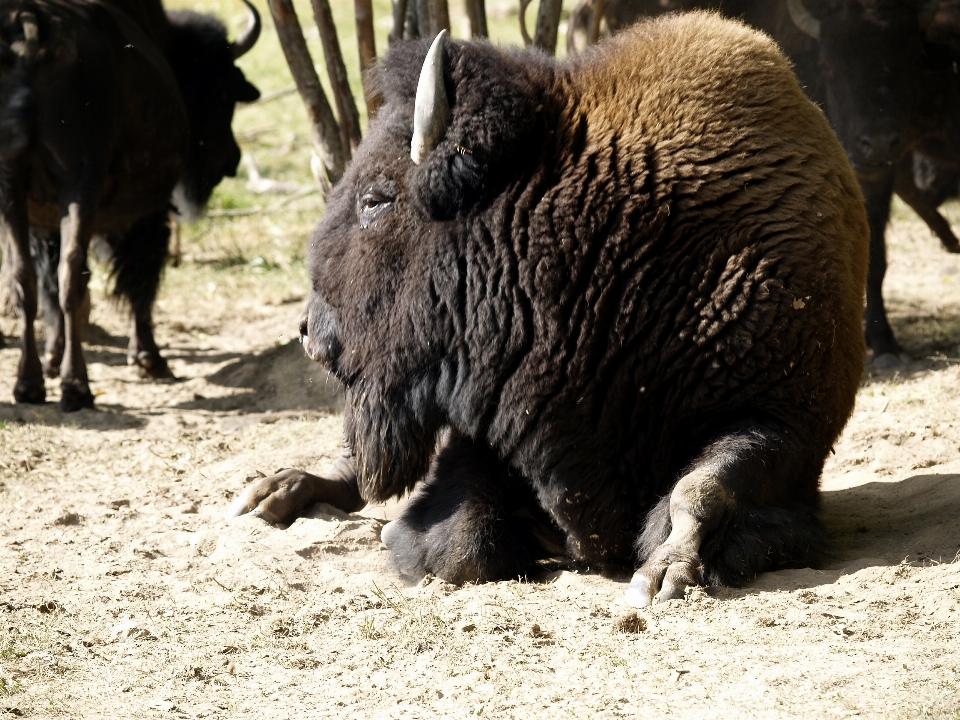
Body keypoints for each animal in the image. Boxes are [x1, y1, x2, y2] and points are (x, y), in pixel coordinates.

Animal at [0, 0, 258, 410]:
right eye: (222, 90)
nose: (231, 160)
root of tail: (31, 30)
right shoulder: (148, 213)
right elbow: (141, 279)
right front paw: (150, 359)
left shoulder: (42, 220)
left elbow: (48, 287)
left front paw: (53, 357)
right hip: (79, 185)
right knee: (72, 275)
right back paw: (77, 387)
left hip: (11, 191)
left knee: (26, 278)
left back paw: (29, 385)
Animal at [232, 14, 872, 604]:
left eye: (376, 199)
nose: (309, 330)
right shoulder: (488, 423)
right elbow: (463, 542)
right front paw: (406, 534)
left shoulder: (785, 420)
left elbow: (703, 487)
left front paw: (668, 572)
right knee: (353, 473)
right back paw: (273, 492)